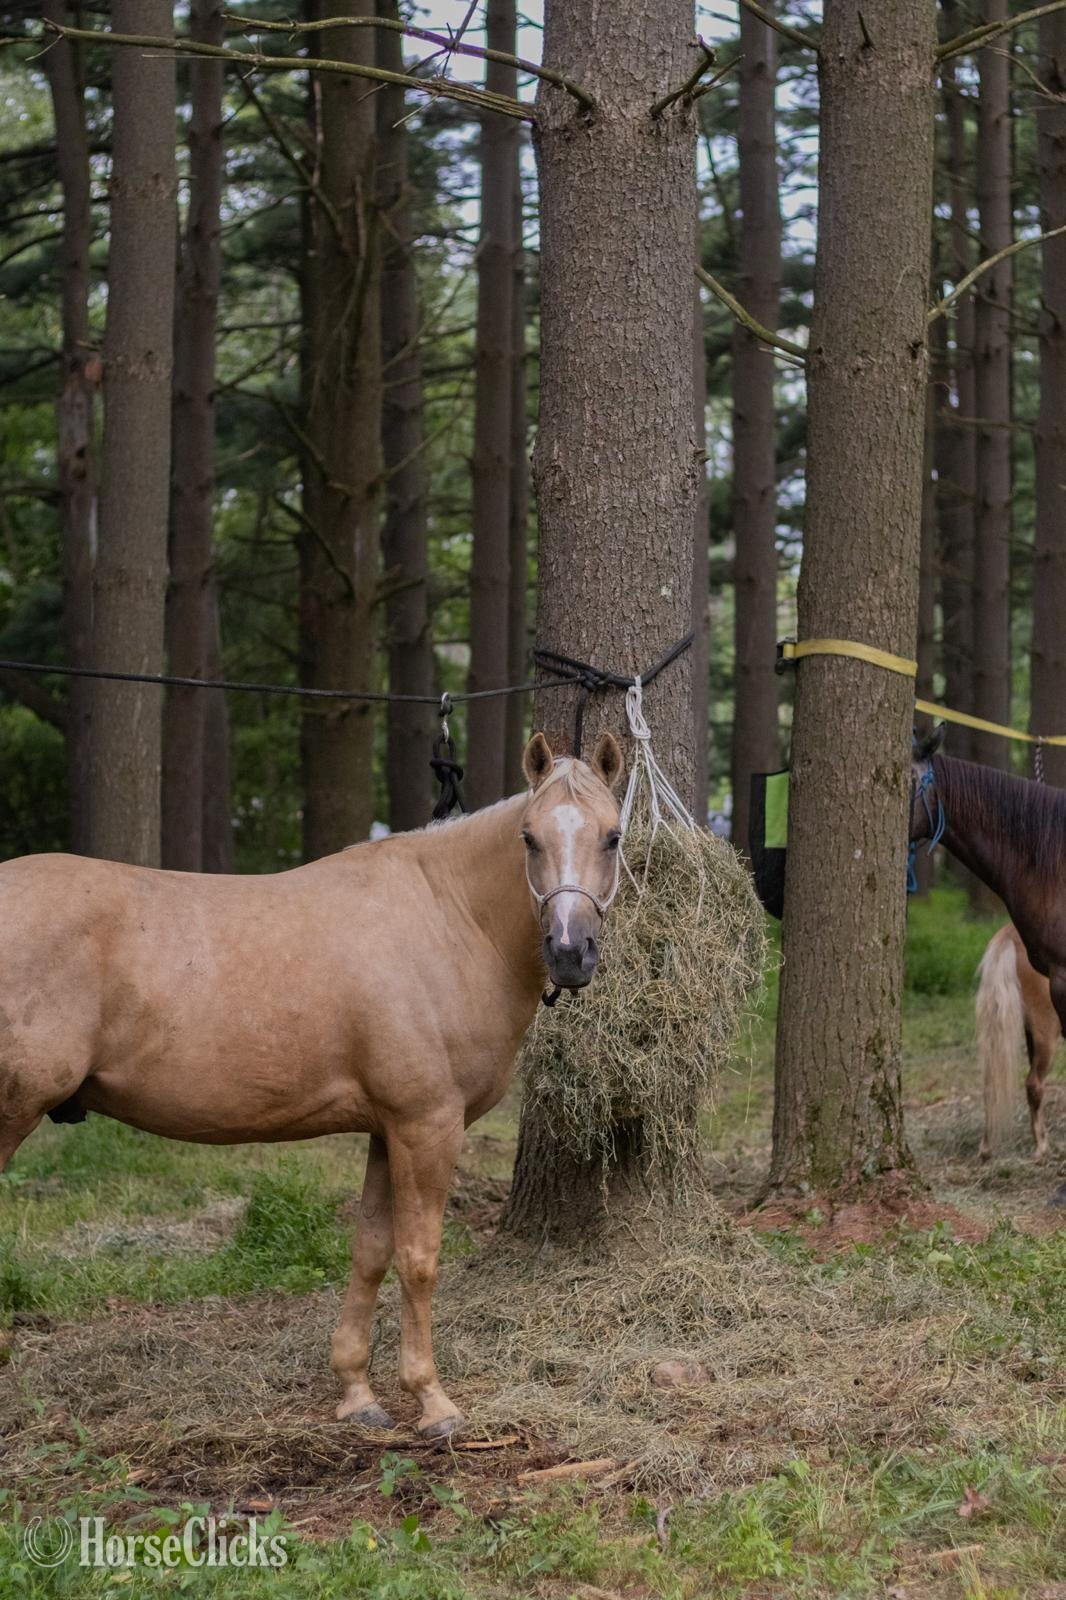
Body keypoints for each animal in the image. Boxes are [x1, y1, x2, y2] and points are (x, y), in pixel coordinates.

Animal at [0, 730, 624, 1439]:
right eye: (528, 838)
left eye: (612, 836)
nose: (570, 952)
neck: (449, 919)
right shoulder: (427, 1125)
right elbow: (419, 1257)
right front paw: (432, 1401)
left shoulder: (388, 1128)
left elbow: (371, 1251)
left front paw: (357, 1392)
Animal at [976, 923, 1060, 1161]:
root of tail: (1009, 936)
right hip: (1046, 1032)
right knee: (1034, 1084)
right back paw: (1042, 1146)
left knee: (991, 1084)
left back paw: (986, 1148)